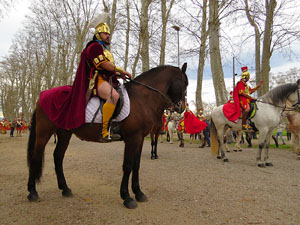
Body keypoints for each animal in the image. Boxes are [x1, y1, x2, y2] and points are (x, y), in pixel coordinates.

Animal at [27, 62, 188, 208]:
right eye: (185, 83)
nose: (181, 108)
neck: (142, 98)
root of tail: (42, 95)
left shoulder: (140, 139)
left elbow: (136, 165)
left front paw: (139, 193)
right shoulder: (132, 139)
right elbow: (128, 165)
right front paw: (127, 197)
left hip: (64, 133)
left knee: (58, 156)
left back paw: (65, 189)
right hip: (44, 132)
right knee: (36, 157)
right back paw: (32, 192)